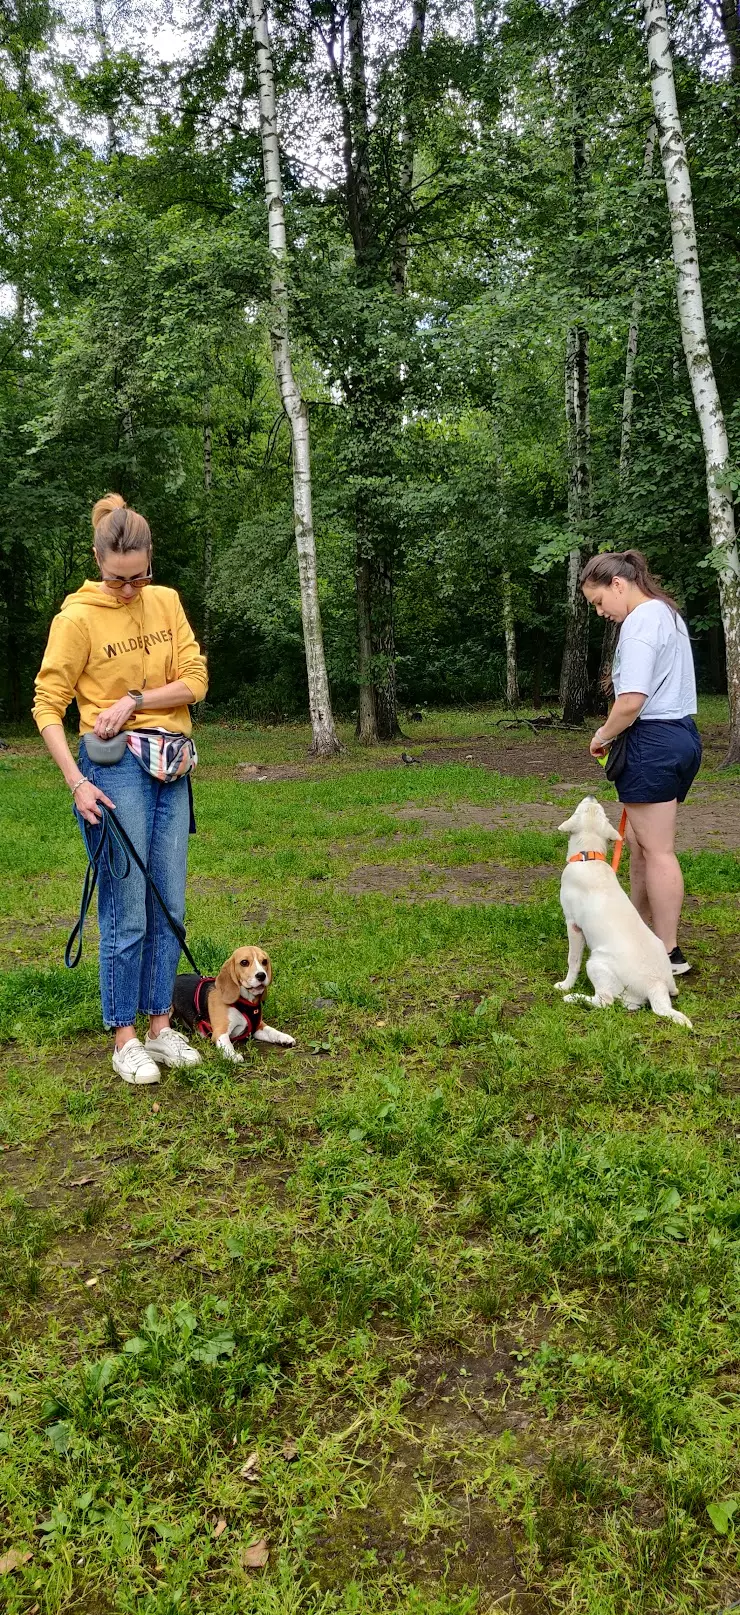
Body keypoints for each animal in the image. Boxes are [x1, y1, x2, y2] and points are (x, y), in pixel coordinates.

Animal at [559, 801, 691, 1027]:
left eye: (581, 807)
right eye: (598, 809)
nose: (592, 797)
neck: (589, 856)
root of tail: (656, 984)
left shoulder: (573, 925)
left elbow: (573, 961)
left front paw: (566, 985)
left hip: (595, 963)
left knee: (605, 1001)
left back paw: (574, 997)